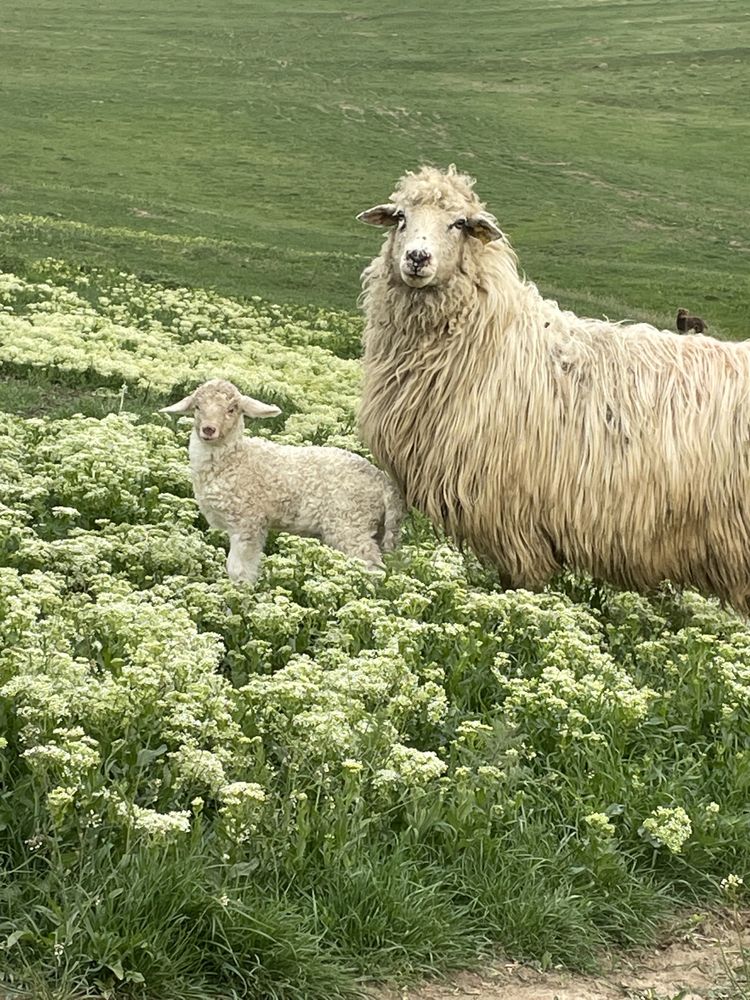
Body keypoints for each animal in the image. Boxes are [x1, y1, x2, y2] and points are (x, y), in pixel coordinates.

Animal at [159, 382, 406, 584]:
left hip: (351, 524)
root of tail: (383, 482)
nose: (208, 430)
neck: (236, 460)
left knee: (371, 567)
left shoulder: (248, 521)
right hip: (376, 528)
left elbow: (239, 571)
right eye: (197, 407)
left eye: (232, 409)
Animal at [356, 165, 750, 612]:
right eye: (400, 217)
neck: (490, 340)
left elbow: (522, 588)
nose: (417, 258)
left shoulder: (515, 522)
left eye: (459, 224)